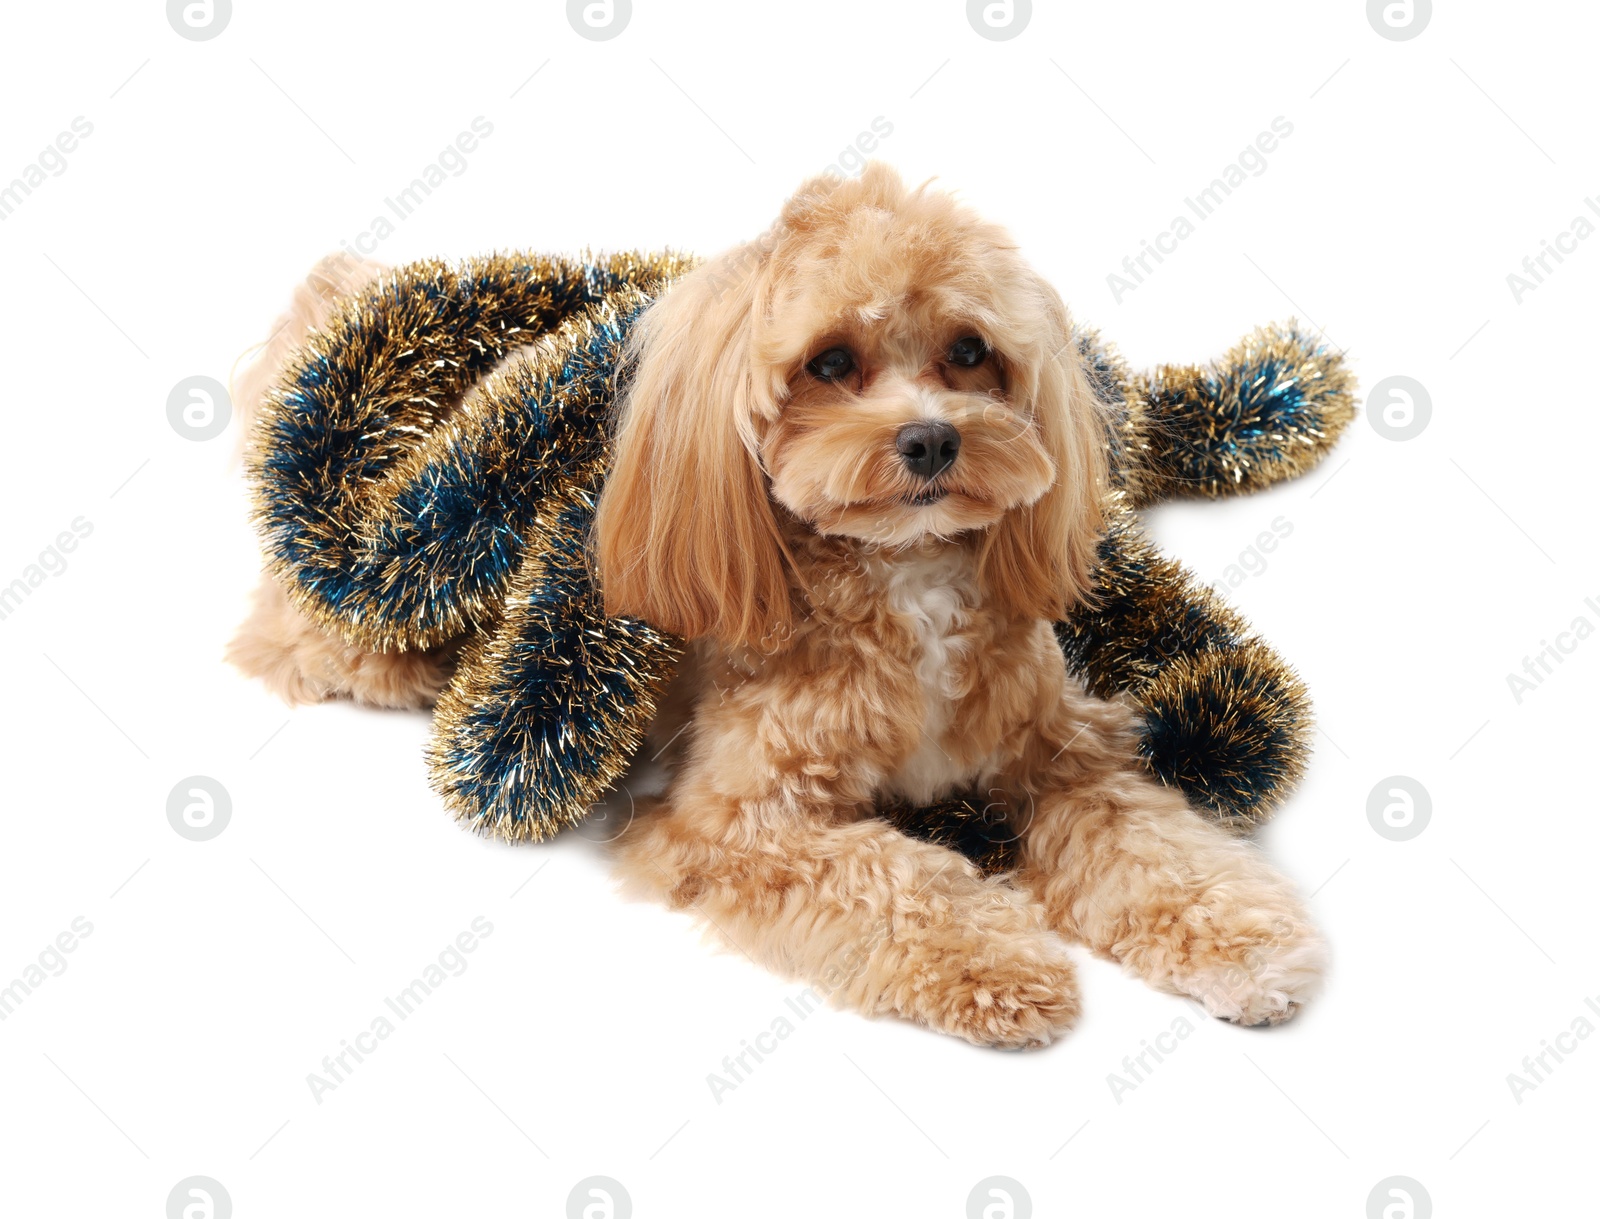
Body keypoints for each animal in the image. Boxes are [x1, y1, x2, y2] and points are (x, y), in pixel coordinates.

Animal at [228, 159, 1324, 1043]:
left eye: (971, 350)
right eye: (829, 362)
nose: (932, 438)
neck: (905, 578)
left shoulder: (1061, 752)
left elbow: (1156, 844)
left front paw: (1241, 939)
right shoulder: (738, 825)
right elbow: (896, 879)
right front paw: (997, 961)